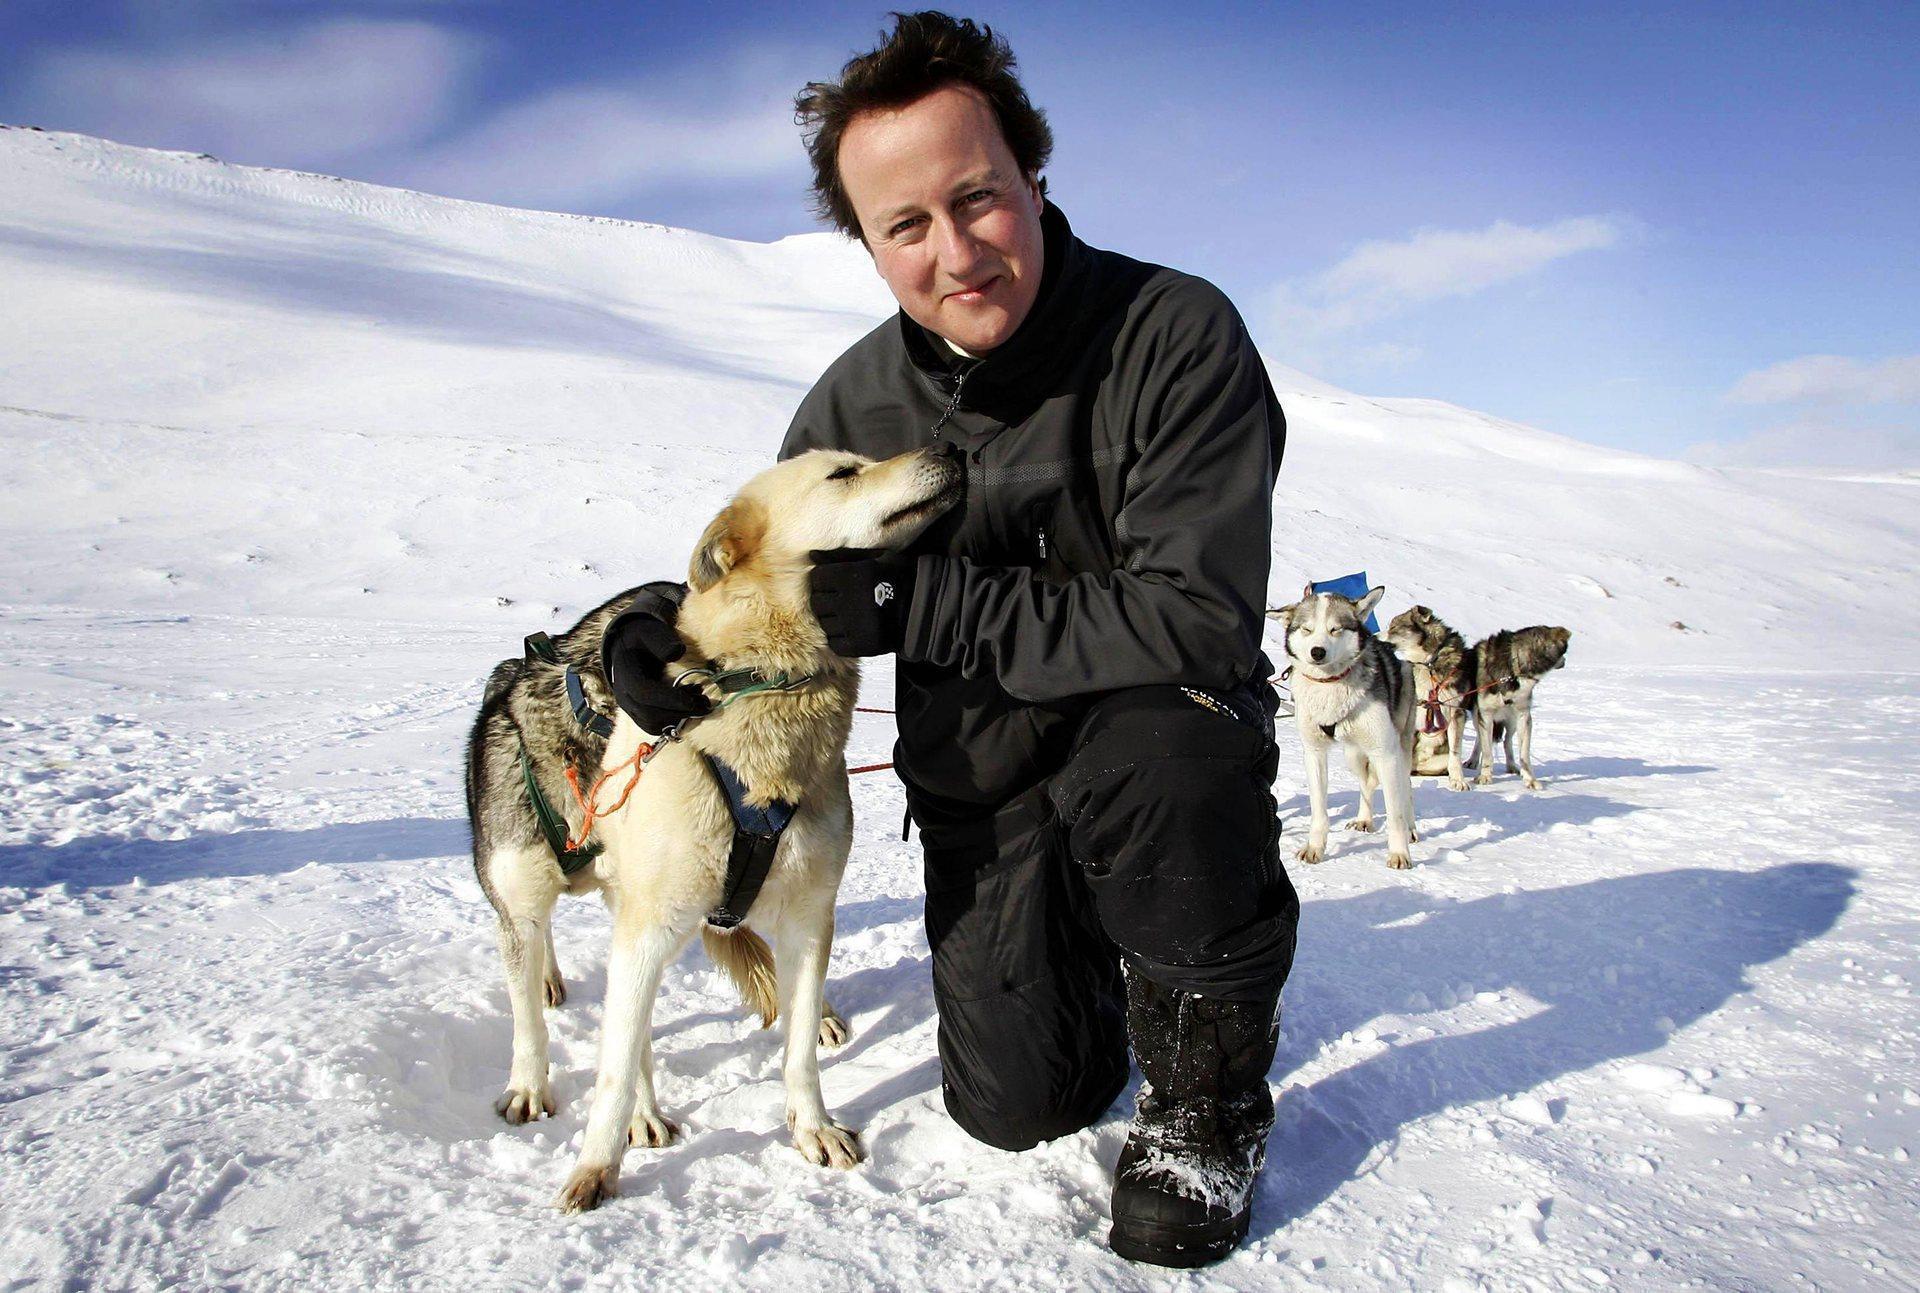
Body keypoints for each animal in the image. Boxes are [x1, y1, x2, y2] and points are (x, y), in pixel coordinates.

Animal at [464, 443, 960, 1214]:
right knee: (578, 1009)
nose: (947, 448)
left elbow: (797, 1050)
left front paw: (812, 1127)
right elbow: (608, 1063)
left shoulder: (810, 916)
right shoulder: (643, 926)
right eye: (843, 473)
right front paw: (594, 1164)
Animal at [1274, 584, 1413, 868]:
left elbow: (1395, 813)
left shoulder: (1386, 753)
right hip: (1354, 755)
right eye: (1306, 629)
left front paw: (1399, 853)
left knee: (1406, 789)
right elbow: (1319, 809)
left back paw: (1412, 829)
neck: (1330, 685)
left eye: (1335, 629)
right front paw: (1314, 848)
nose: (1317, 651)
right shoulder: (1314, 753)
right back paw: (1364, 819)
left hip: (1399, 750)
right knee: (1366, 785)